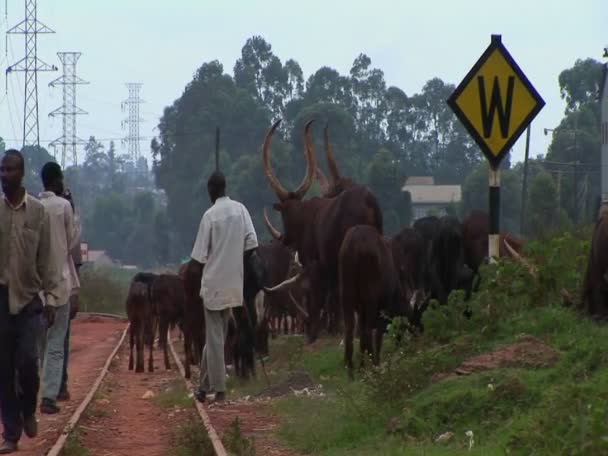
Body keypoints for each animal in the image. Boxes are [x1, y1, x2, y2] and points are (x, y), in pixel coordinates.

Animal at [264, 119, 382, 340]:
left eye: (283, 214)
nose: (285, 239)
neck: (306, 217)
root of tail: (367, 199)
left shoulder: (315, 266)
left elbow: (320, 296)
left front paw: (317, 333)